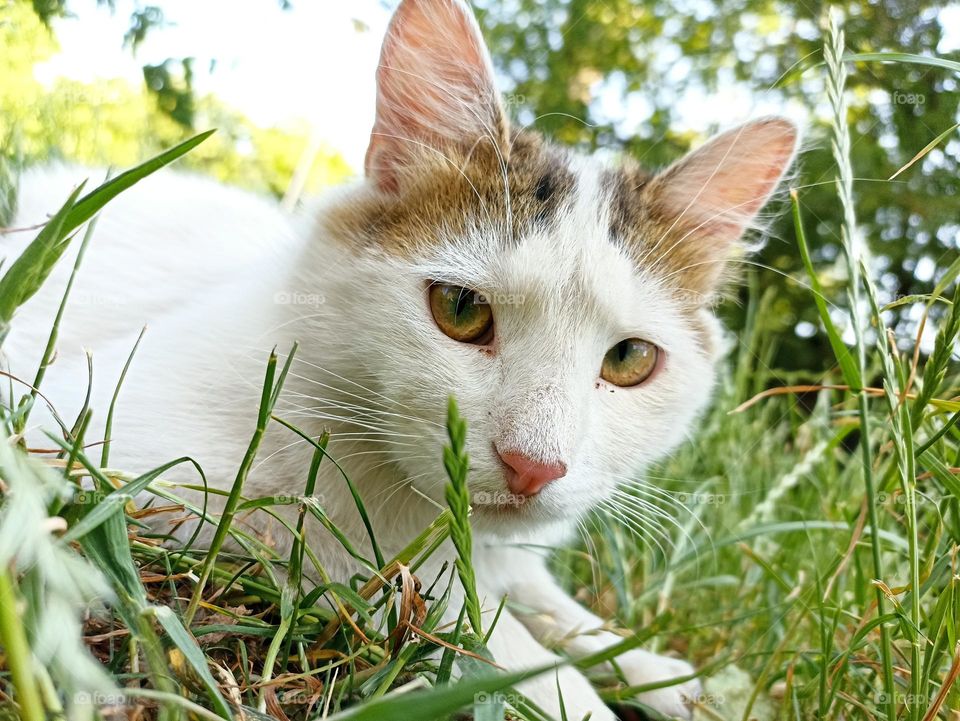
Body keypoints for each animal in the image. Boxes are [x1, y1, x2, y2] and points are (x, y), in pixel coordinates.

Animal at [5, 1, 796, 720]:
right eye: (460, 309)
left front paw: (661, 672)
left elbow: (548, 600)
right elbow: (456, 609)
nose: (532, 466)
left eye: (630, 359)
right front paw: (576, 690)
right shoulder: (95, 454)